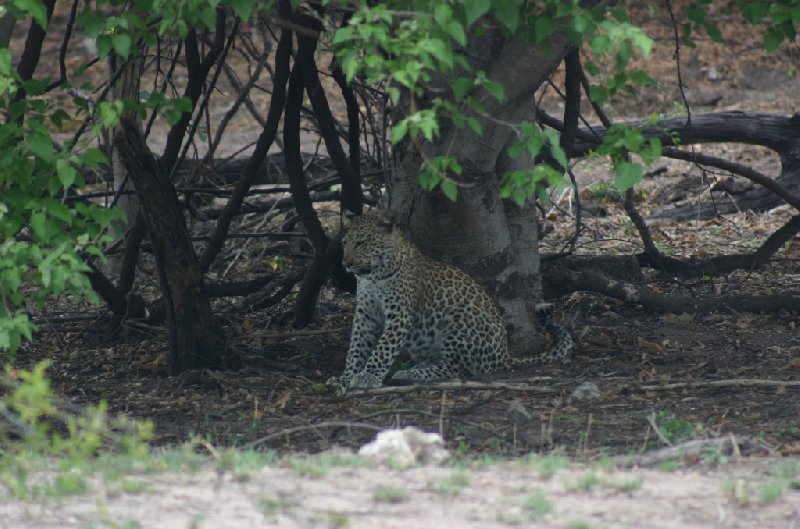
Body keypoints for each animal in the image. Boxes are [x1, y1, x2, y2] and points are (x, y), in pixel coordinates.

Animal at [328, 208, 572, 394]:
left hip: (459, 316)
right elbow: (356, 348)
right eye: (344, 242)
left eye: (361, 243)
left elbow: (383, 348)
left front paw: (368, 376)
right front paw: (345, 377)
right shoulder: (365, 315)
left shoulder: (399, 314)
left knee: (455, 369)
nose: (345, 264)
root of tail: (504, 353)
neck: (373, 276)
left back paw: (410, 373)